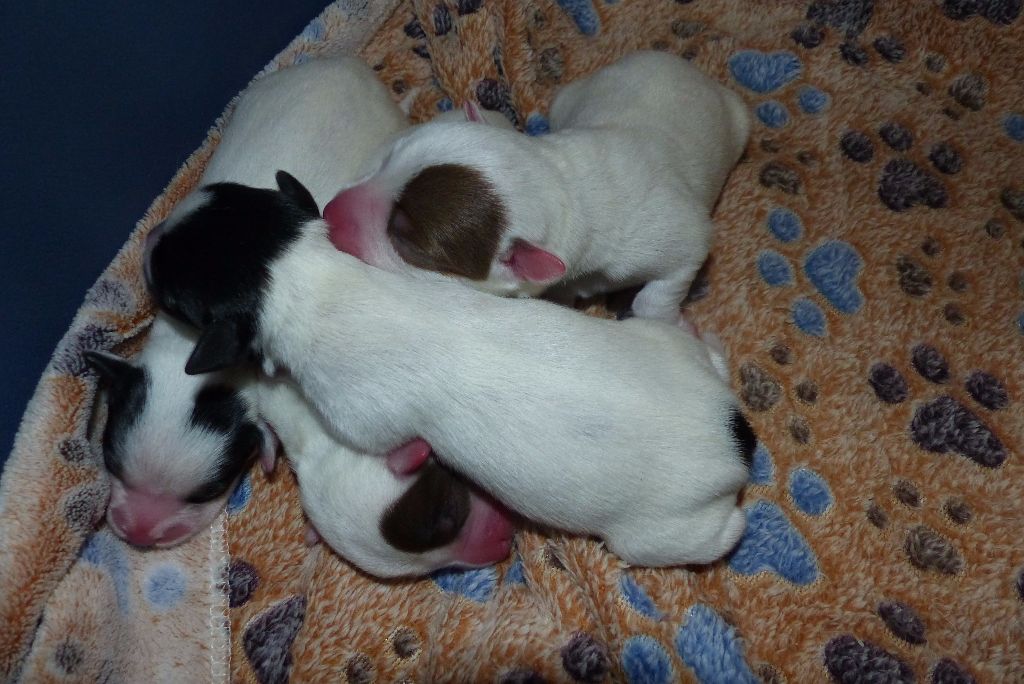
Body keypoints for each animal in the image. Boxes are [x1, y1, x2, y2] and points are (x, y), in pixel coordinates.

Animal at [142, 171, 753, 565]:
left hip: (663, 528)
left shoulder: (357, 412)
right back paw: (707, 340)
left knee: (715, 534)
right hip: (657, 340)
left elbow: (381, 441)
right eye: (223, 192)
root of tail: (736, 436)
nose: (147, 239)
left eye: (173, 298)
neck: (310, 275)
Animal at [319, 49, 753, 321]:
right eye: (386, 160)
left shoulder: (672, 237)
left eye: (404, 240)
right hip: (570, 94)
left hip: (738, 120)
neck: (560, 177)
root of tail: (680, 63)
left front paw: (672, 322)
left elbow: (673, 273)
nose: (329, 212)